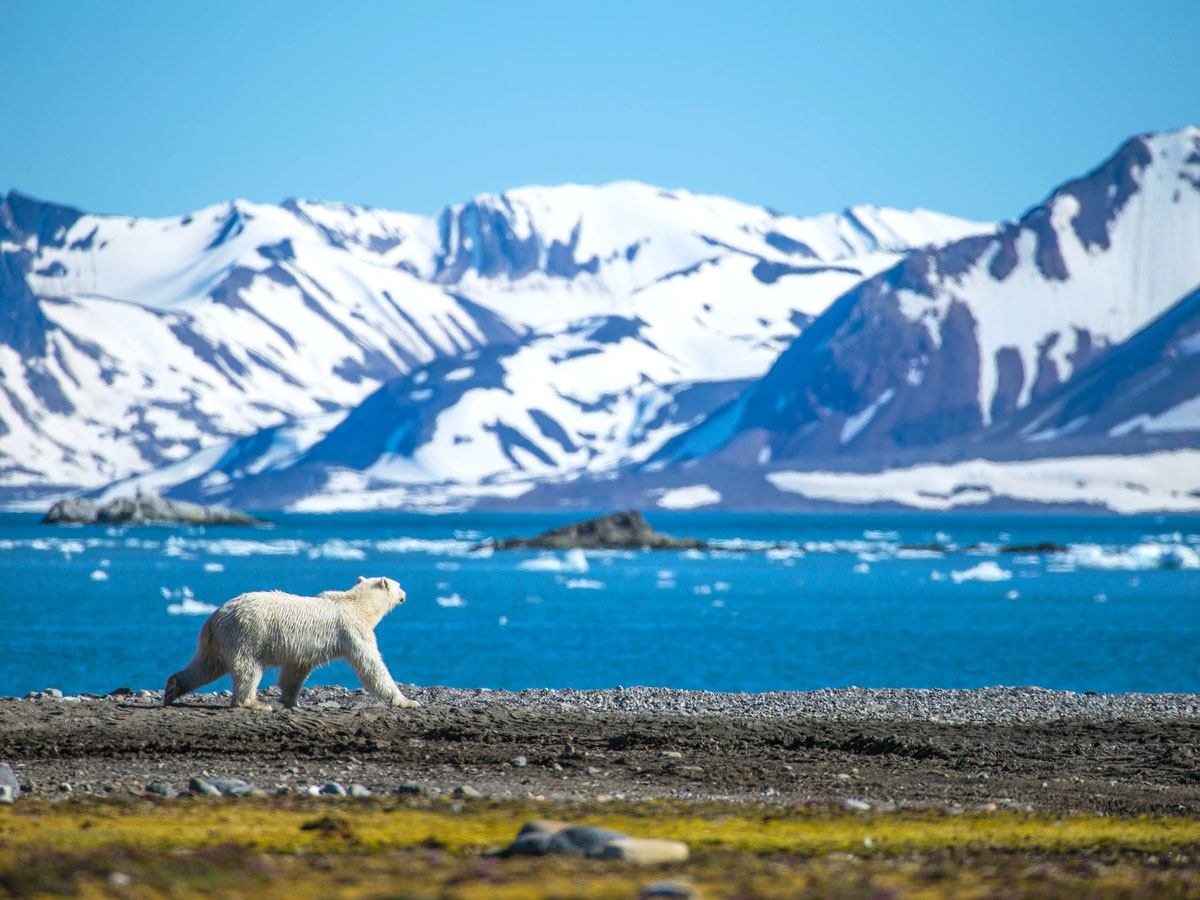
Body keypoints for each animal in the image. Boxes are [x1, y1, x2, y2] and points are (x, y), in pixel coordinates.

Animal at [163, 576, 419, 710]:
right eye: (398, 585)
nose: (405, 593)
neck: (359, 604)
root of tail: (213, 619)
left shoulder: (305, 649)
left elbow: (295, 671)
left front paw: (290, 700)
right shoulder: (353, 630)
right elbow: (371, 666)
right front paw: (407, 700)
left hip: (217, 641)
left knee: (206, 666)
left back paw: (173, 687)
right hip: (246, 635)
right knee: (248, 669)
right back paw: (254, 703)